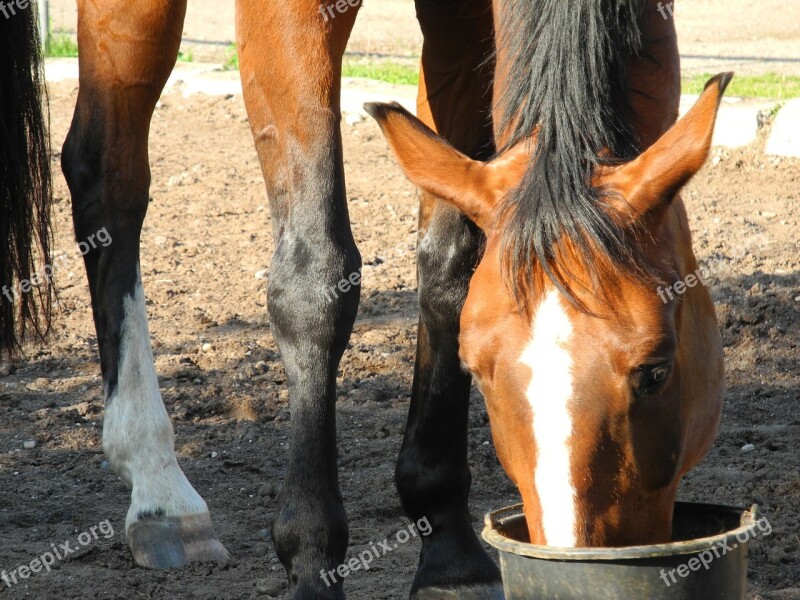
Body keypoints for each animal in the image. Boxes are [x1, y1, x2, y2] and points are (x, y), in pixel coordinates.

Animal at [0, 0, 728, 596]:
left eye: (657, 371)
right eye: (483, 373)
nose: (575, 558)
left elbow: (450, 264)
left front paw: (448, 551)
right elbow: (316, 280)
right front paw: (312, 561)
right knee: (107, 175)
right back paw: (158, 487)